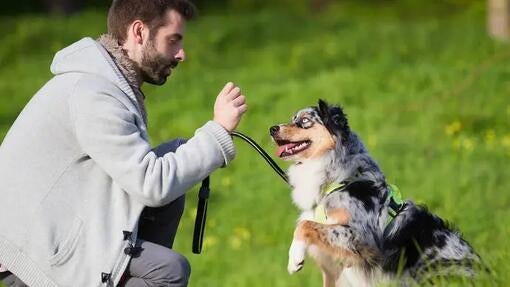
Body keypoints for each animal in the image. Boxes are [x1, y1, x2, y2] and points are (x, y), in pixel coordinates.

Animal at [268, 99, 480, 287]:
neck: (336, 179)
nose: (272, 129)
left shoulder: (363, 238)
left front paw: (294, 259)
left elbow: (304, 225)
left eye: (304, 121)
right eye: (293, 118)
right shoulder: (332, 268)